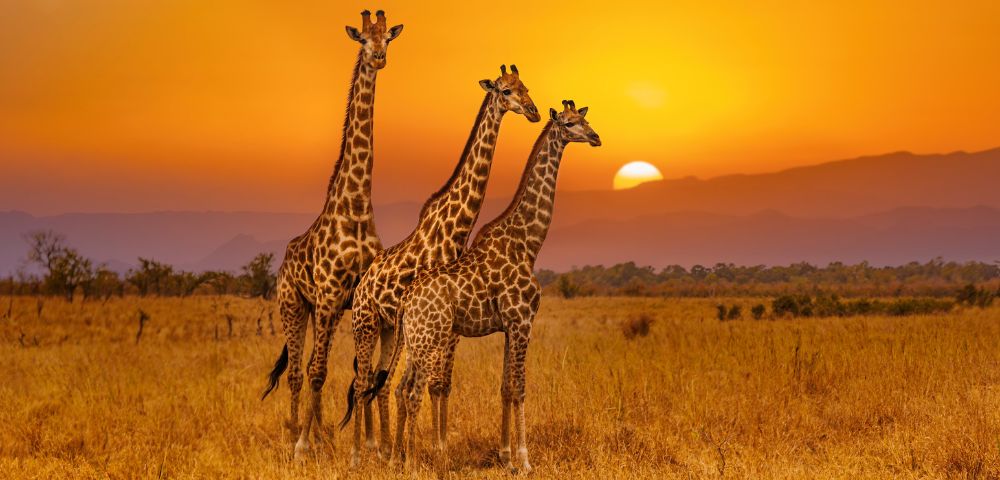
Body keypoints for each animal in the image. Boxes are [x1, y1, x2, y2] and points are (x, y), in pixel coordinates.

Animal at [258, 10, 403, 459]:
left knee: (310, 367)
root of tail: (284, 260)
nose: (378, 58)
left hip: (328, 310)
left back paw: (320, 431)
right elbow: (320, 370)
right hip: (294, 305)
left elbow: (363, 372)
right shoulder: (326, 294)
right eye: (363, 40)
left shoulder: (355, 297)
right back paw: (295, 432)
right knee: (299, 371)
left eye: (387, 38)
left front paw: (370, 444)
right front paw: (303, 444)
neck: (355, 205)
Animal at [340, 64, 540, 466]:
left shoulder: (452, 325)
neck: (453, 230)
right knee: (365, 380)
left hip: (391, 329)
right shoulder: (441, 322)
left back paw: (382, 448)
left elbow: (442, 385)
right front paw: (430, 451)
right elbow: (430, 385)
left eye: (525, 87)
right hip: (366, 323)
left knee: (379, 384)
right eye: (506, 91)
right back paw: (361, 453)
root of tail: (363, 284)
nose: (533, 111)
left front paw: (437, 446)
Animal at [393, 101, 601, 472]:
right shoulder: (522, 321)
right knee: (414, 391)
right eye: (569, 123)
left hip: (415, 341)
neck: (528, 244)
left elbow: (505, 387)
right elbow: (519, 388)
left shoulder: (508, 326)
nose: (595, 137)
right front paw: (525, 460)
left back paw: (396, 459)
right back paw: (413, 463)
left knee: (402, 389)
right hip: (431, 339)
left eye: (585, 118)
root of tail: (406, 300)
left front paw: (505, 456)